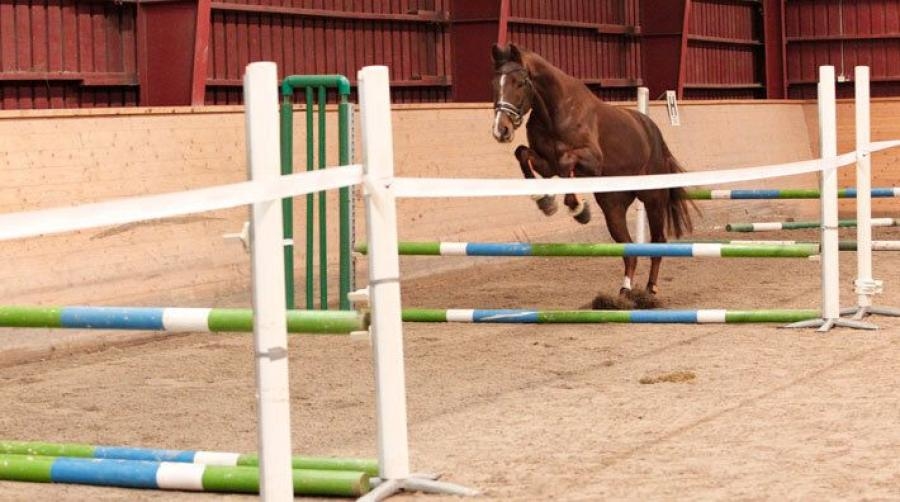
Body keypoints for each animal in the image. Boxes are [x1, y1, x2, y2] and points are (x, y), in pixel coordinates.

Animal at [488, 43, 692, 296]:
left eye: (520, 82)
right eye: (494, 84)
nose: (501, 130)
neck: (555, 111)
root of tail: (652, 132)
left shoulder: (591, 161)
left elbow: (566, 163)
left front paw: (578, 209)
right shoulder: (546, 164)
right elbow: (523, 154)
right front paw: (545, 201)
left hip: (653, 199)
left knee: (658, 241)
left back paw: (650, 289)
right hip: (613, 206)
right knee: (629, 249)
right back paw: (625, 291)